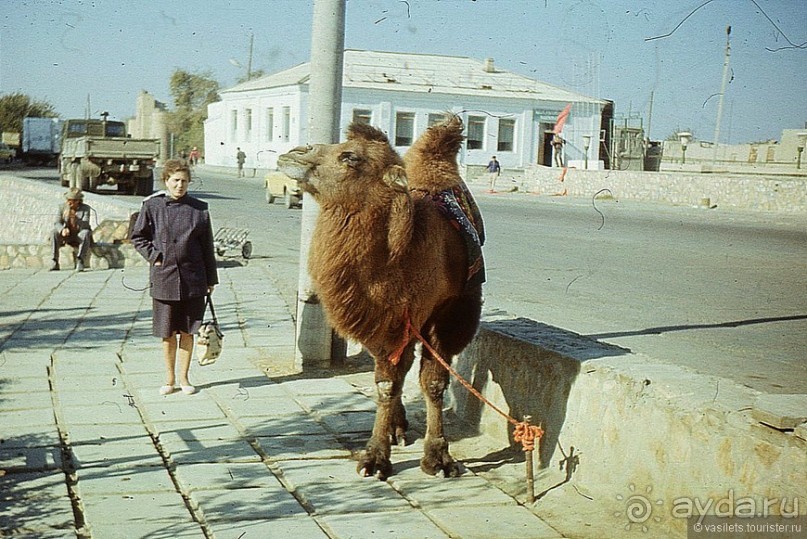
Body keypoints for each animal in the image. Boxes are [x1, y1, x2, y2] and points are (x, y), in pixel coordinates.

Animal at [278, 118, 486, 480]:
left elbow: (433, 382)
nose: (295, 151)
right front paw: (376, 455)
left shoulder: (444, 315)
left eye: (350, 156)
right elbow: (387, 383)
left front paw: (438, 457)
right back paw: (396, 428)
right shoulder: (386, 321)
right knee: (400, 371)